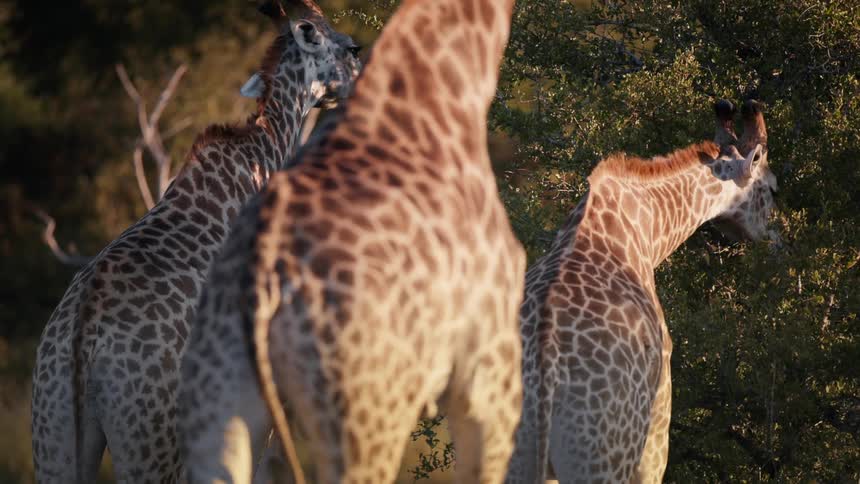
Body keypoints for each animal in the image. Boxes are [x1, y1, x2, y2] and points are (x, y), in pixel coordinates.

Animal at [30, 2, 361, 482]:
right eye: (351, 48)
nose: (362, 70)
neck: (263, 157)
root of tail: (82, 339)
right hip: (152, 441)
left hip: (53, 433)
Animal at [505, 99, 778, 484]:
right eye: (773, 189)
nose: (779, 238)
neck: (650, 231)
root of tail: (544, 369)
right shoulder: (658, 424)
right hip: (604, 456)